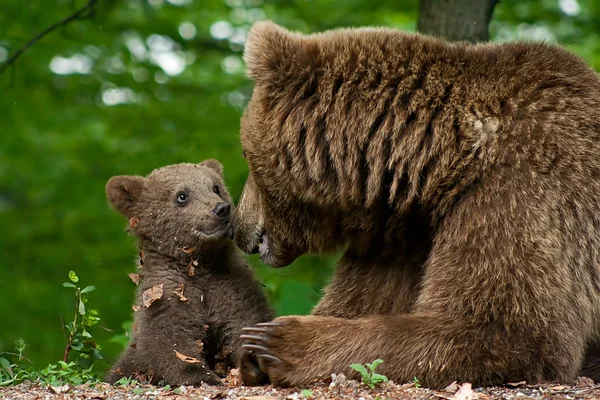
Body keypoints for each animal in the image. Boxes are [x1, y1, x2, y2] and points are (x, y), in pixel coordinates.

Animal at [232, 20, 600, 390]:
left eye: (245, 156)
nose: (238, 227)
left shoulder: (520, 192)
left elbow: (510, 331)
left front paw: (277, 342)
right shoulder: (404, 236)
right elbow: (360, 299)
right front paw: (251, 352)